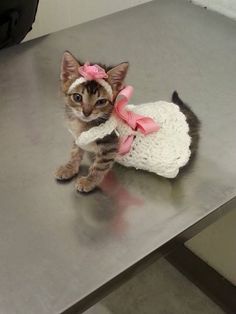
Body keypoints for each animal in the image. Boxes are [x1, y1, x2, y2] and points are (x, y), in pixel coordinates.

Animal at [54, 50, 128, 193]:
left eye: (101, 102)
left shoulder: (110, 146)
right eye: (77, 97)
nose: (86, 113)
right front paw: (69, 168)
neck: (83, 125)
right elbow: (75, 152)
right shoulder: (78, 138)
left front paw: (88, 181)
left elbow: (99, 167)